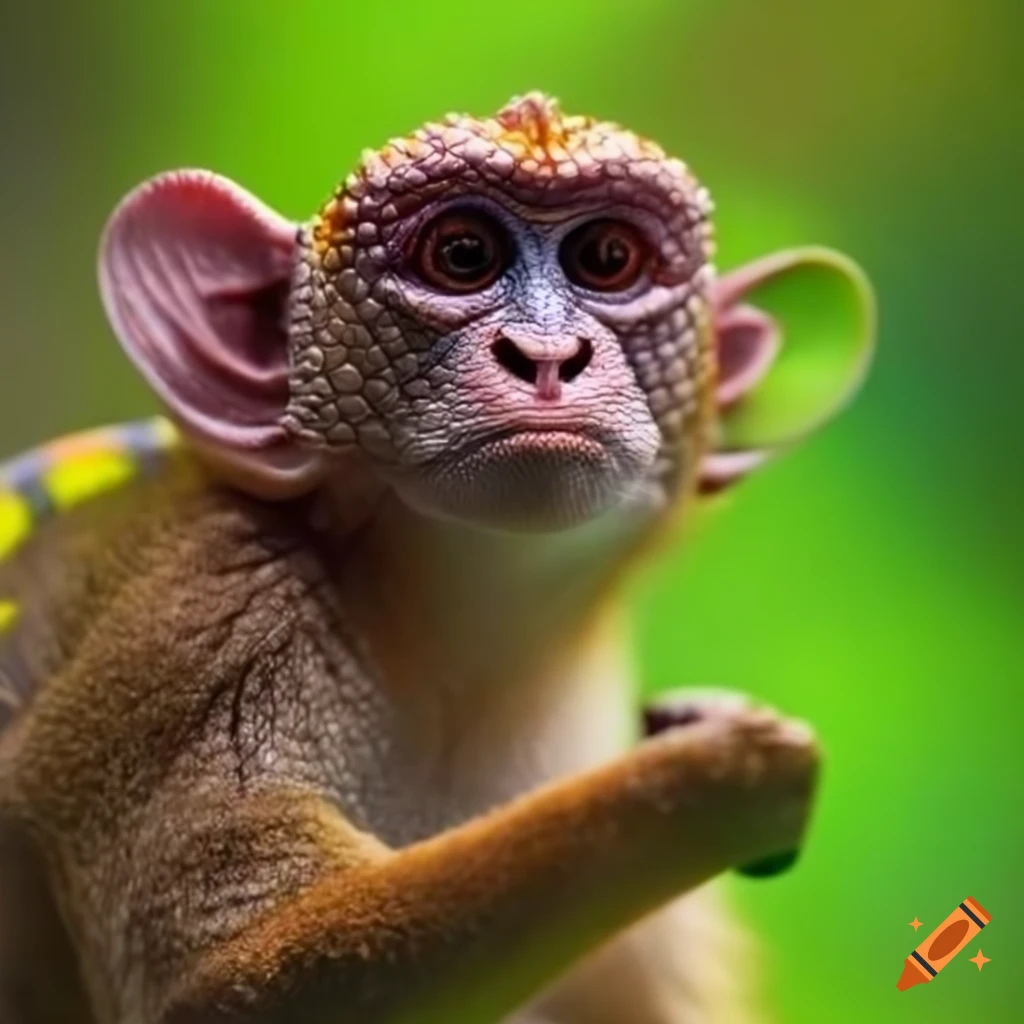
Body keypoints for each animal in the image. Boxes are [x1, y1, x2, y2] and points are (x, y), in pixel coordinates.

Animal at [0, 93, 874, 1024]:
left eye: (608, 259)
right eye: (462, 256)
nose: (547, 356)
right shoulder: (205, 625)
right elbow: (218, 982)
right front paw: (713, 776)